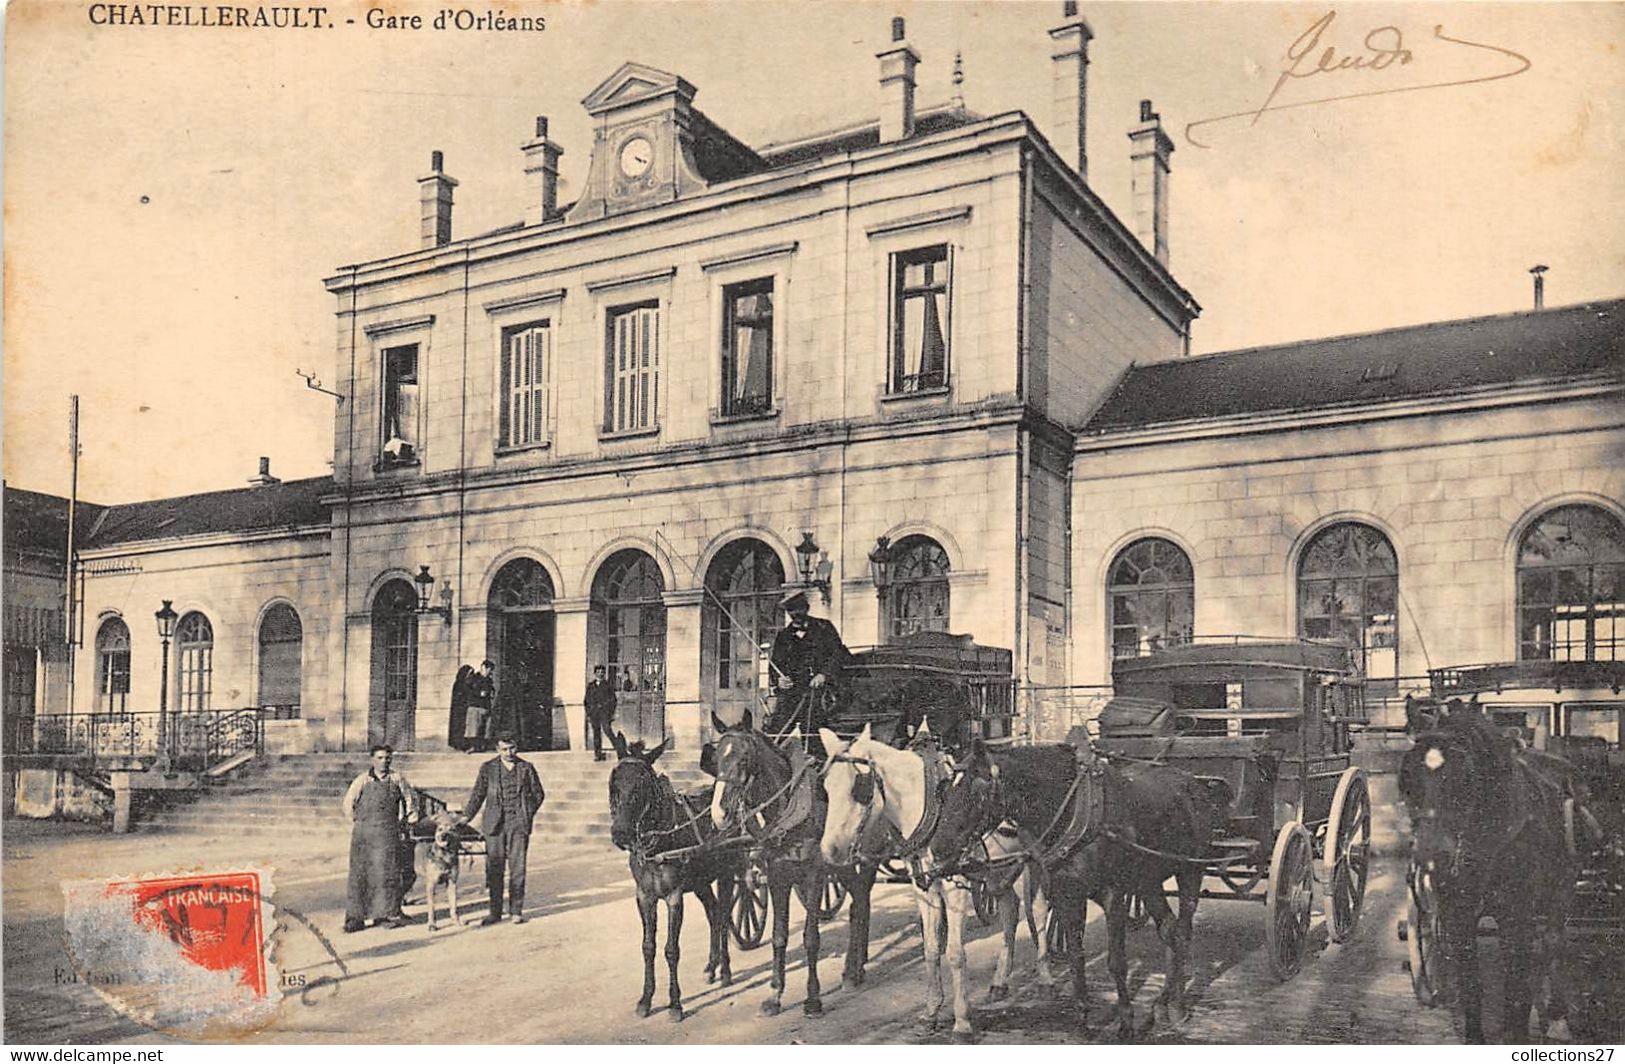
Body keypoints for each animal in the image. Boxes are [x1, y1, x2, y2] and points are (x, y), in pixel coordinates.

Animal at [607, 734, 741, 1026]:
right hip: (701, 882)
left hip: (726, 874)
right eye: (613, 782)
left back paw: (725, 971)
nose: (620, 833)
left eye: (643, 783)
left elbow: (671, 949)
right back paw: (711, 967)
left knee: (724, 915)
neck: (657, 845)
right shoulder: (644, 896)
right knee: (714, 914)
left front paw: (675, 1004)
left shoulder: (674, 897)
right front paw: (645, 1000)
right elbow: (648, 946)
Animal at [708, 724, 877, 1013]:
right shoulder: (778, 876)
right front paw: (775, 994)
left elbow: (811, 938)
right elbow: (779, 936)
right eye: (716, 758)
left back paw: (852, 971)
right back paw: (855, 969)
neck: (791, 809)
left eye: (743, 759)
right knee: (859, 903)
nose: (719, 814)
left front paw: (812, 998)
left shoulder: (814, 875)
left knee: (861, 903)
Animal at [825, 724, 1053, 1039]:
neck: (926, 805)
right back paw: (1000, 981)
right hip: (998, 868)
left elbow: (955, 953)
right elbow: (931, 949)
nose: (829, 850)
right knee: (1009, 911)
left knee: (1037, 910)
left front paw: (962, 1021)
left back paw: (1045, 976)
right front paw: (931, 1012)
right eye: (825, 787)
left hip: (1029, 862)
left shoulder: (954, 885)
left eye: (858, 789)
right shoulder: (925, 888)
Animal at [975, 740, 1228, 1039]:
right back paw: (1162, 1004)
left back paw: (1177, 1006)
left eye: (972, 790)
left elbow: (1117, 962)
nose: (990, 880)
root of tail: (1194, 782)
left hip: (1190, 871)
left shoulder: (1113, 895)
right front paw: (1083, 1021)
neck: (1074, 810)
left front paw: (1126, 1024)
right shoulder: (1068, 893)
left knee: (1184, 931)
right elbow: (1076, 957)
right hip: (1149, 881)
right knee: (1170, 930)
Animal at [1404, 708, 1579, 1039]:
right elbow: (1471, 983)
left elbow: (1517, 988)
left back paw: (1558, 1016)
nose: (1431, 856)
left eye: (1465, 777)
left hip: (1561, 888)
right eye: (1408, 775)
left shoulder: (1518, 916)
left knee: (1553, 942)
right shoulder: (1457, 916)